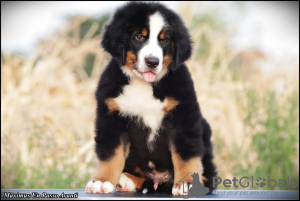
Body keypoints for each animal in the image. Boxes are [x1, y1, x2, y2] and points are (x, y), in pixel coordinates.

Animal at [85, 1, 217, 196]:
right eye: (139, 36)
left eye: (164, 40)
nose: (153, 62)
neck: (144, 85)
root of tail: (159, 179)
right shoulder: (111, 118)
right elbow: (111, 155)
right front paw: (102, 181)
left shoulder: (183, 117)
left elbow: (185, 155)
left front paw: (186, 184)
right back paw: (125, 180)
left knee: (209, 176)